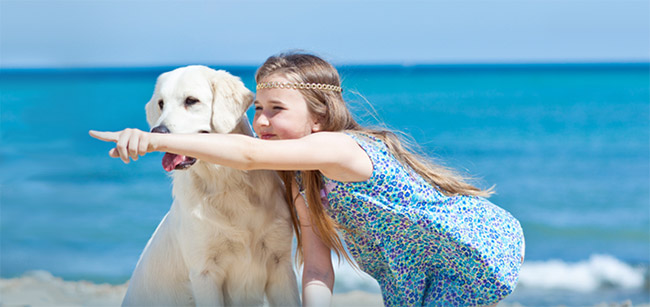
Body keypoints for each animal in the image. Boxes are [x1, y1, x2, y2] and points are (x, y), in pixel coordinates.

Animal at [121, 66, 298, 306]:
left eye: (191, 100)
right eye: (161, 103)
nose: (157, 132)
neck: (226, 184)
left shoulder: (280, 262)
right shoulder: (204, 271)